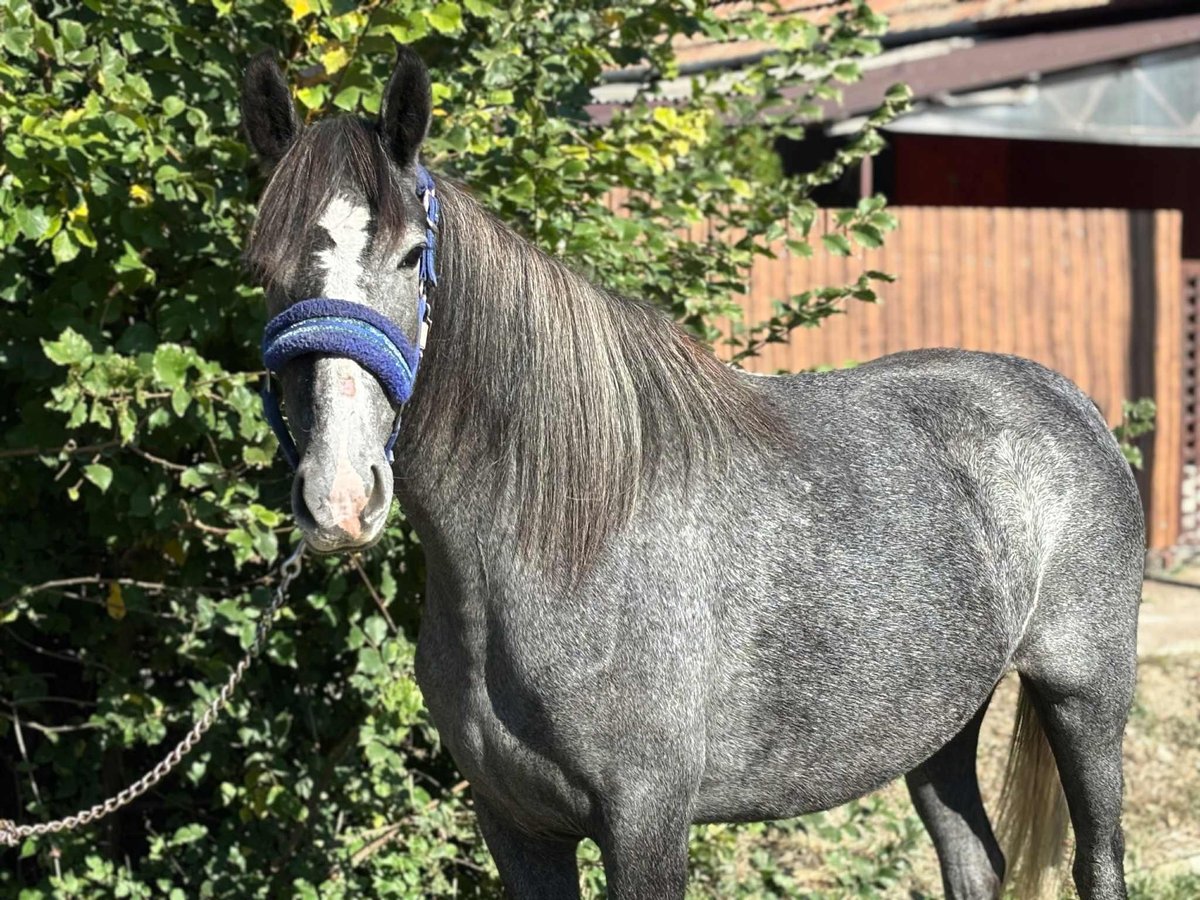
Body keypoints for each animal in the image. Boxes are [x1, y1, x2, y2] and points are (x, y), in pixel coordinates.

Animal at [240, 46, 1143, 900]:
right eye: (263, 270)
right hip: (940, 722)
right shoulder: (516, 827)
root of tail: (1065, 399)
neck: (561, 545)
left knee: (1097, 861)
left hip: (1086, 699)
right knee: (975, 861)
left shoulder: (646, 822)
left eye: (411, 255)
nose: (340, 497)